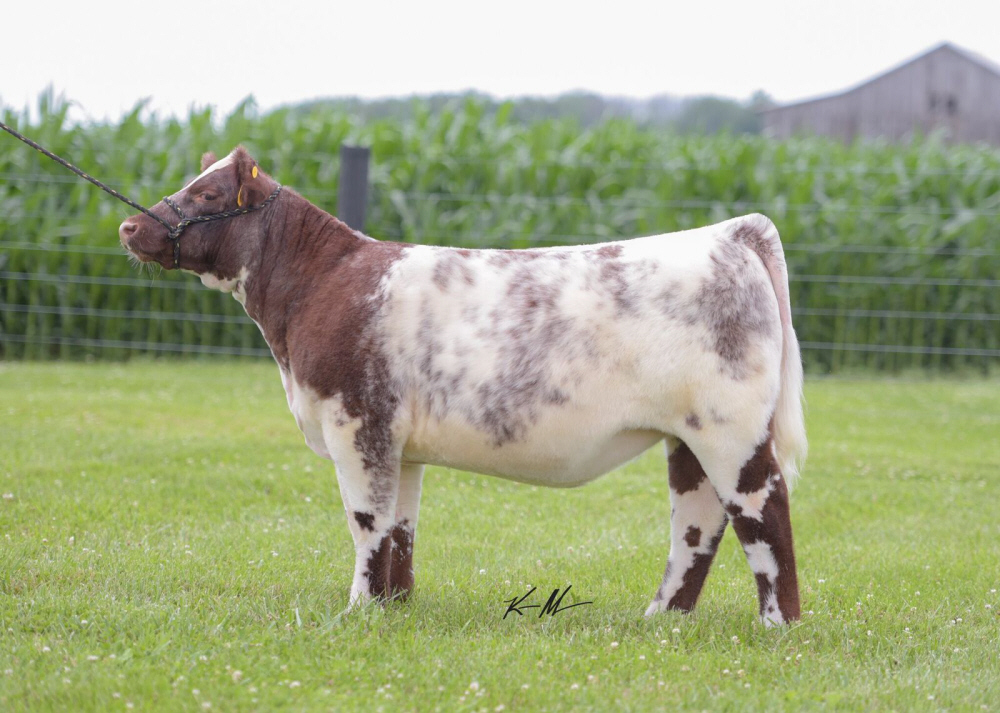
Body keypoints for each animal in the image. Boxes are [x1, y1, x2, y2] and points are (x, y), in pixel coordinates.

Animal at [119, 147, 808, 625]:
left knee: (763, 509)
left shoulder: (356, 421)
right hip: (687, 435)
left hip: (731, 428)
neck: (319, 286)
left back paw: (778, 624)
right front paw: (393, 608)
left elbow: (366, 519)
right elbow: (399, 525)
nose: (129, 228)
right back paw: (661, 619)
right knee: (698, 521)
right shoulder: (400, 443)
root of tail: (729, 233)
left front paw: (357, 609)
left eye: (208, 192)